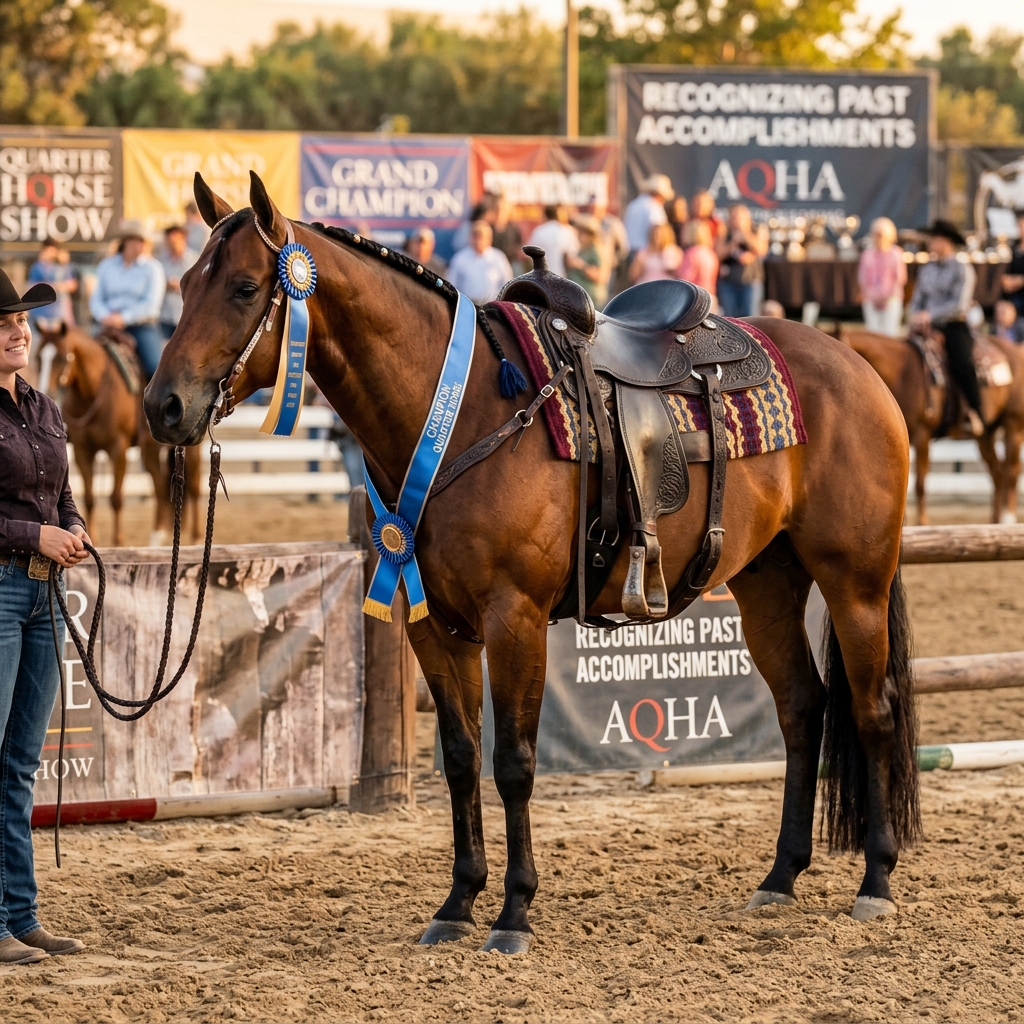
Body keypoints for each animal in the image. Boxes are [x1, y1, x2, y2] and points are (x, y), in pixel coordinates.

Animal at [40, 324, 202, 546]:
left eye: (62, 357)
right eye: (38, 357)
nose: (46, 391)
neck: (93, 392)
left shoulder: (118, 448)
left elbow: (115, 497)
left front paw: (118, 541)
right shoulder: (83, 450)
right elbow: (89, 498)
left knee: (193, 486)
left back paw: (195, 537)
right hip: (149, 451)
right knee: (160, 487)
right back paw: (157, 536)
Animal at [145, 171, 919, 951]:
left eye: (244, 287)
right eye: (183, 282)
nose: (164, 406)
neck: (465, 412)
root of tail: (858, 364)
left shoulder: (513, 618)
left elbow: (514, 762)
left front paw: (514, 910)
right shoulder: (432, 623)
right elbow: (462, 756)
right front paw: (458, 902)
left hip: (855, 582)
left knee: (873, 709)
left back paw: (876, 880)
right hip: (767, 584)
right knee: (802, 708)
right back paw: (780, 876)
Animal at [842, 327, 1024, 525]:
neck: (904, 373)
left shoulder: (922, 435)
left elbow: (920, 484)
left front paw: (922, 522)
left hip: (1013, 425)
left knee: (1012, 471)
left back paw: (1007, 518)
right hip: (985, 435)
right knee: (997, 474)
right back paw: (994, 521)